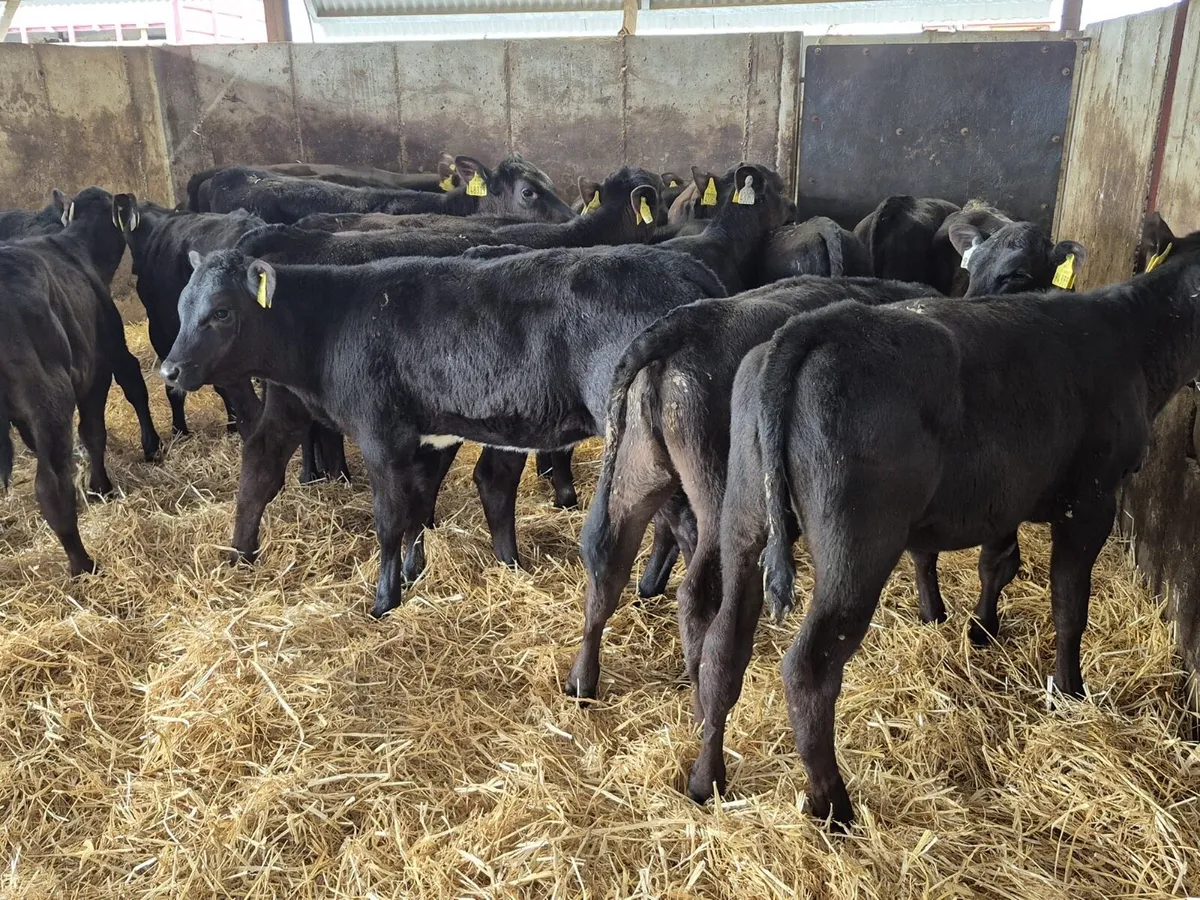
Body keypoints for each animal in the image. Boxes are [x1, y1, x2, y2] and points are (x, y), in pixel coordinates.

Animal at [0, 187, 163, 575]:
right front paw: (102, 485)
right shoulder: (103, 360)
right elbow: (99, 424)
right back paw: (82, 564)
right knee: (49, 484)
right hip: (49, 395)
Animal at [160, 239, 725, 618]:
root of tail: (681, 265)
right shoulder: (427, 436)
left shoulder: (380, 435)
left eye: (221, 312)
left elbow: (389, 519)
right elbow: (416, 508)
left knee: (686, 525)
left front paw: (383, 600)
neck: (333, 322)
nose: (169, 369)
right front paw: (412, 575)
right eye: (182, 305)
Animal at [565, 277, 936, 708]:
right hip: (718, 498)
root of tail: (678, 328)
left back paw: (581, 680)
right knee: (696, 593)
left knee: (608, 562)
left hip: (638, 472)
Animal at [687, 223, 1200, 827]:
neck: (1132, 340)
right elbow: (1070, 604)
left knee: (724, 647)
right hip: (856, 546)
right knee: (809, 669)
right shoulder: (1091, 500)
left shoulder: (1007, 494)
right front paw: (1069, 689)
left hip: (745, 516)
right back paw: (834, 806)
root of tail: (815, 327)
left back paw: (706, 780)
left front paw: (981, 630)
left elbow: (997, 563)